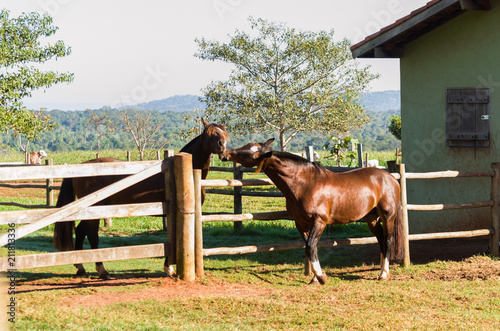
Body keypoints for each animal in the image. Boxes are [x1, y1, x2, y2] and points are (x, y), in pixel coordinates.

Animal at [52, 119, 229, 280]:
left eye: (224, 133)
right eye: (211, 134)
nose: (223, 146)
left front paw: (169, 268)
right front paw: (169, 268)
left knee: (80, 231)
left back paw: (80, 267)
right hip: (94, 211)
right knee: (92, 235)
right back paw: (102, 271)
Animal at [221, 139, 404, 284]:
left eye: (253, 150)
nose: (225, 153)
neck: (305, 183)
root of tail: (391, 178)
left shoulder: (319, 221)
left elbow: (310, 247)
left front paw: (321, 277)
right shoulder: (301, 223)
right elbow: (310, 248)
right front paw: (315, 278)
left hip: (388, 216)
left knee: (388, 241)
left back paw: (384, 274)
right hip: (371, 218)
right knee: (381, 240)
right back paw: (381, 272)